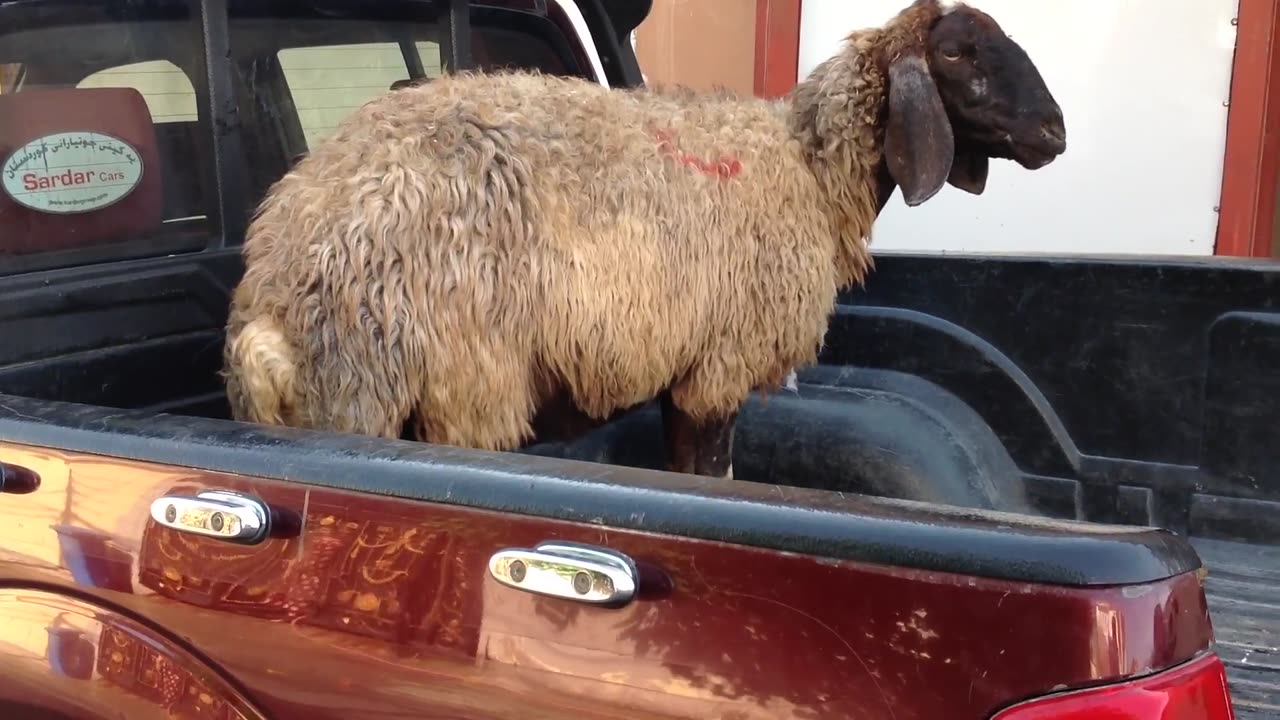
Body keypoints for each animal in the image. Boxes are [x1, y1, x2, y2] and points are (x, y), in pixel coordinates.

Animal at [225, 1, 1064, 481]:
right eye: (956, 51)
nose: (1054, 131)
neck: (807, 164)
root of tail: (273, 299)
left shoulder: (686, 368)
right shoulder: (724, 360)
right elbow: (713, 480)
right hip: (446, 389)